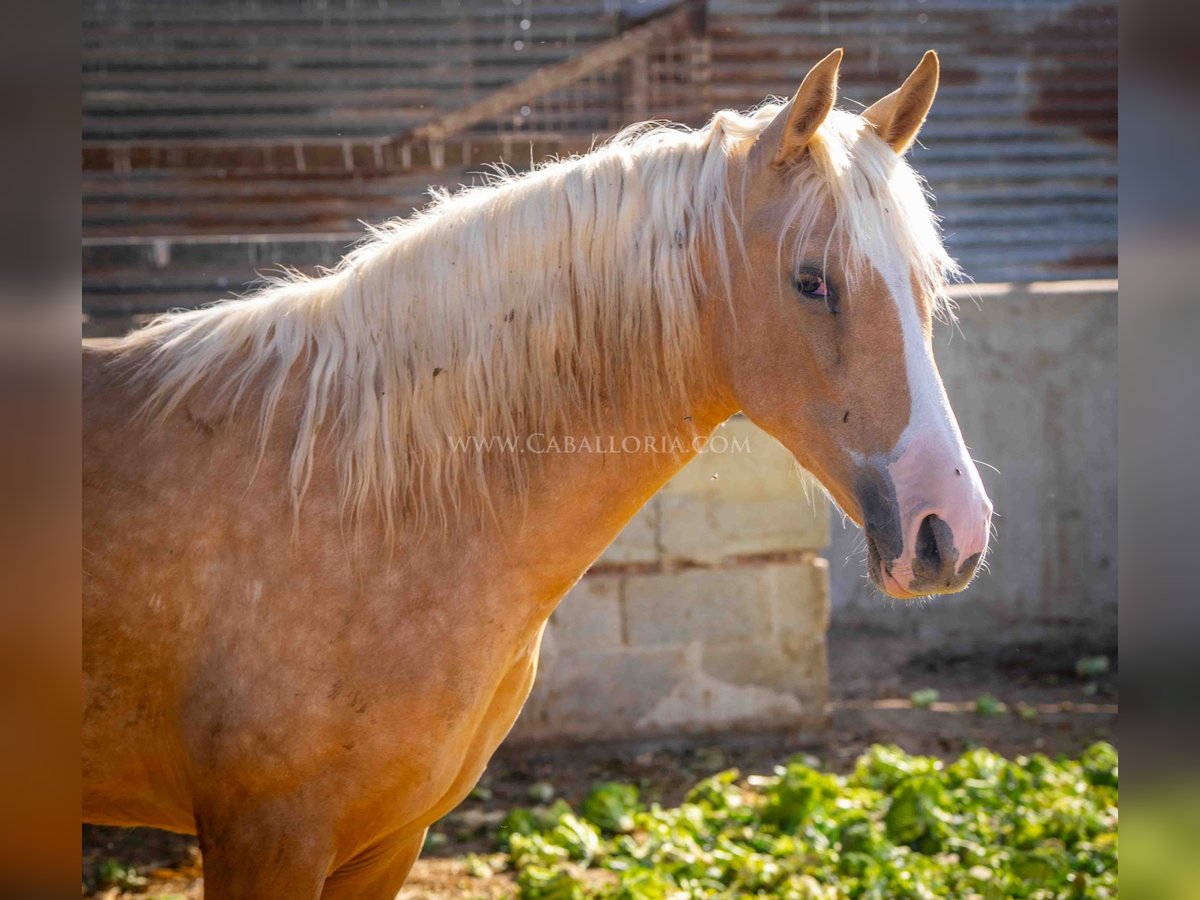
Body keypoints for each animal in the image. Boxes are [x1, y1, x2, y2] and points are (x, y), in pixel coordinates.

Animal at [79, 52, 988, 897]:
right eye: (811, 280)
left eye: (925, 284)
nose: (951, 530)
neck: (351, 500)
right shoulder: (269, 839)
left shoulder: (384, 843)